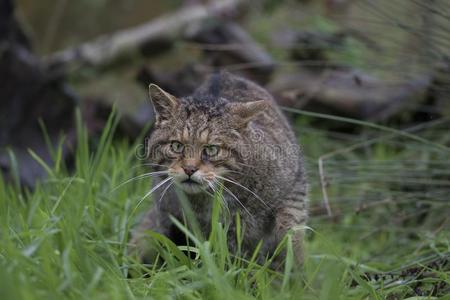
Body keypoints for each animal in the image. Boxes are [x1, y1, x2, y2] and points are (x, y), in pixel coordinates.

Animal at [128, 72, 308, 268]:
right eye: (176, 146)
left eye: (212, 149)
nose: (189, 169)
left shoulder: (296, 188)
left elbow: (289, 233)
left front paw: (292, 269)